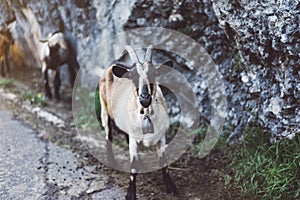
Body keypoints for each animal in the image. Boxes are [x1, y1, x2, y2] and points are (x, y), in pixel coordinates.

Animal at [99, 45, 177, 200]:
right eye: (132, 76)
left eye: (154, 74)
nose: (144, 97)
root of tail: (112, 66)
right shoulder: (134, 140)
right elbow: (133, 165)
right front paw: (130, 193)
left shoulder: (161, 136)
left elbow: (163, 161)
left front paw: (171, 186)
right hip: (104, 109)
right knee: (108, 133)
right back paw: (111, 160)